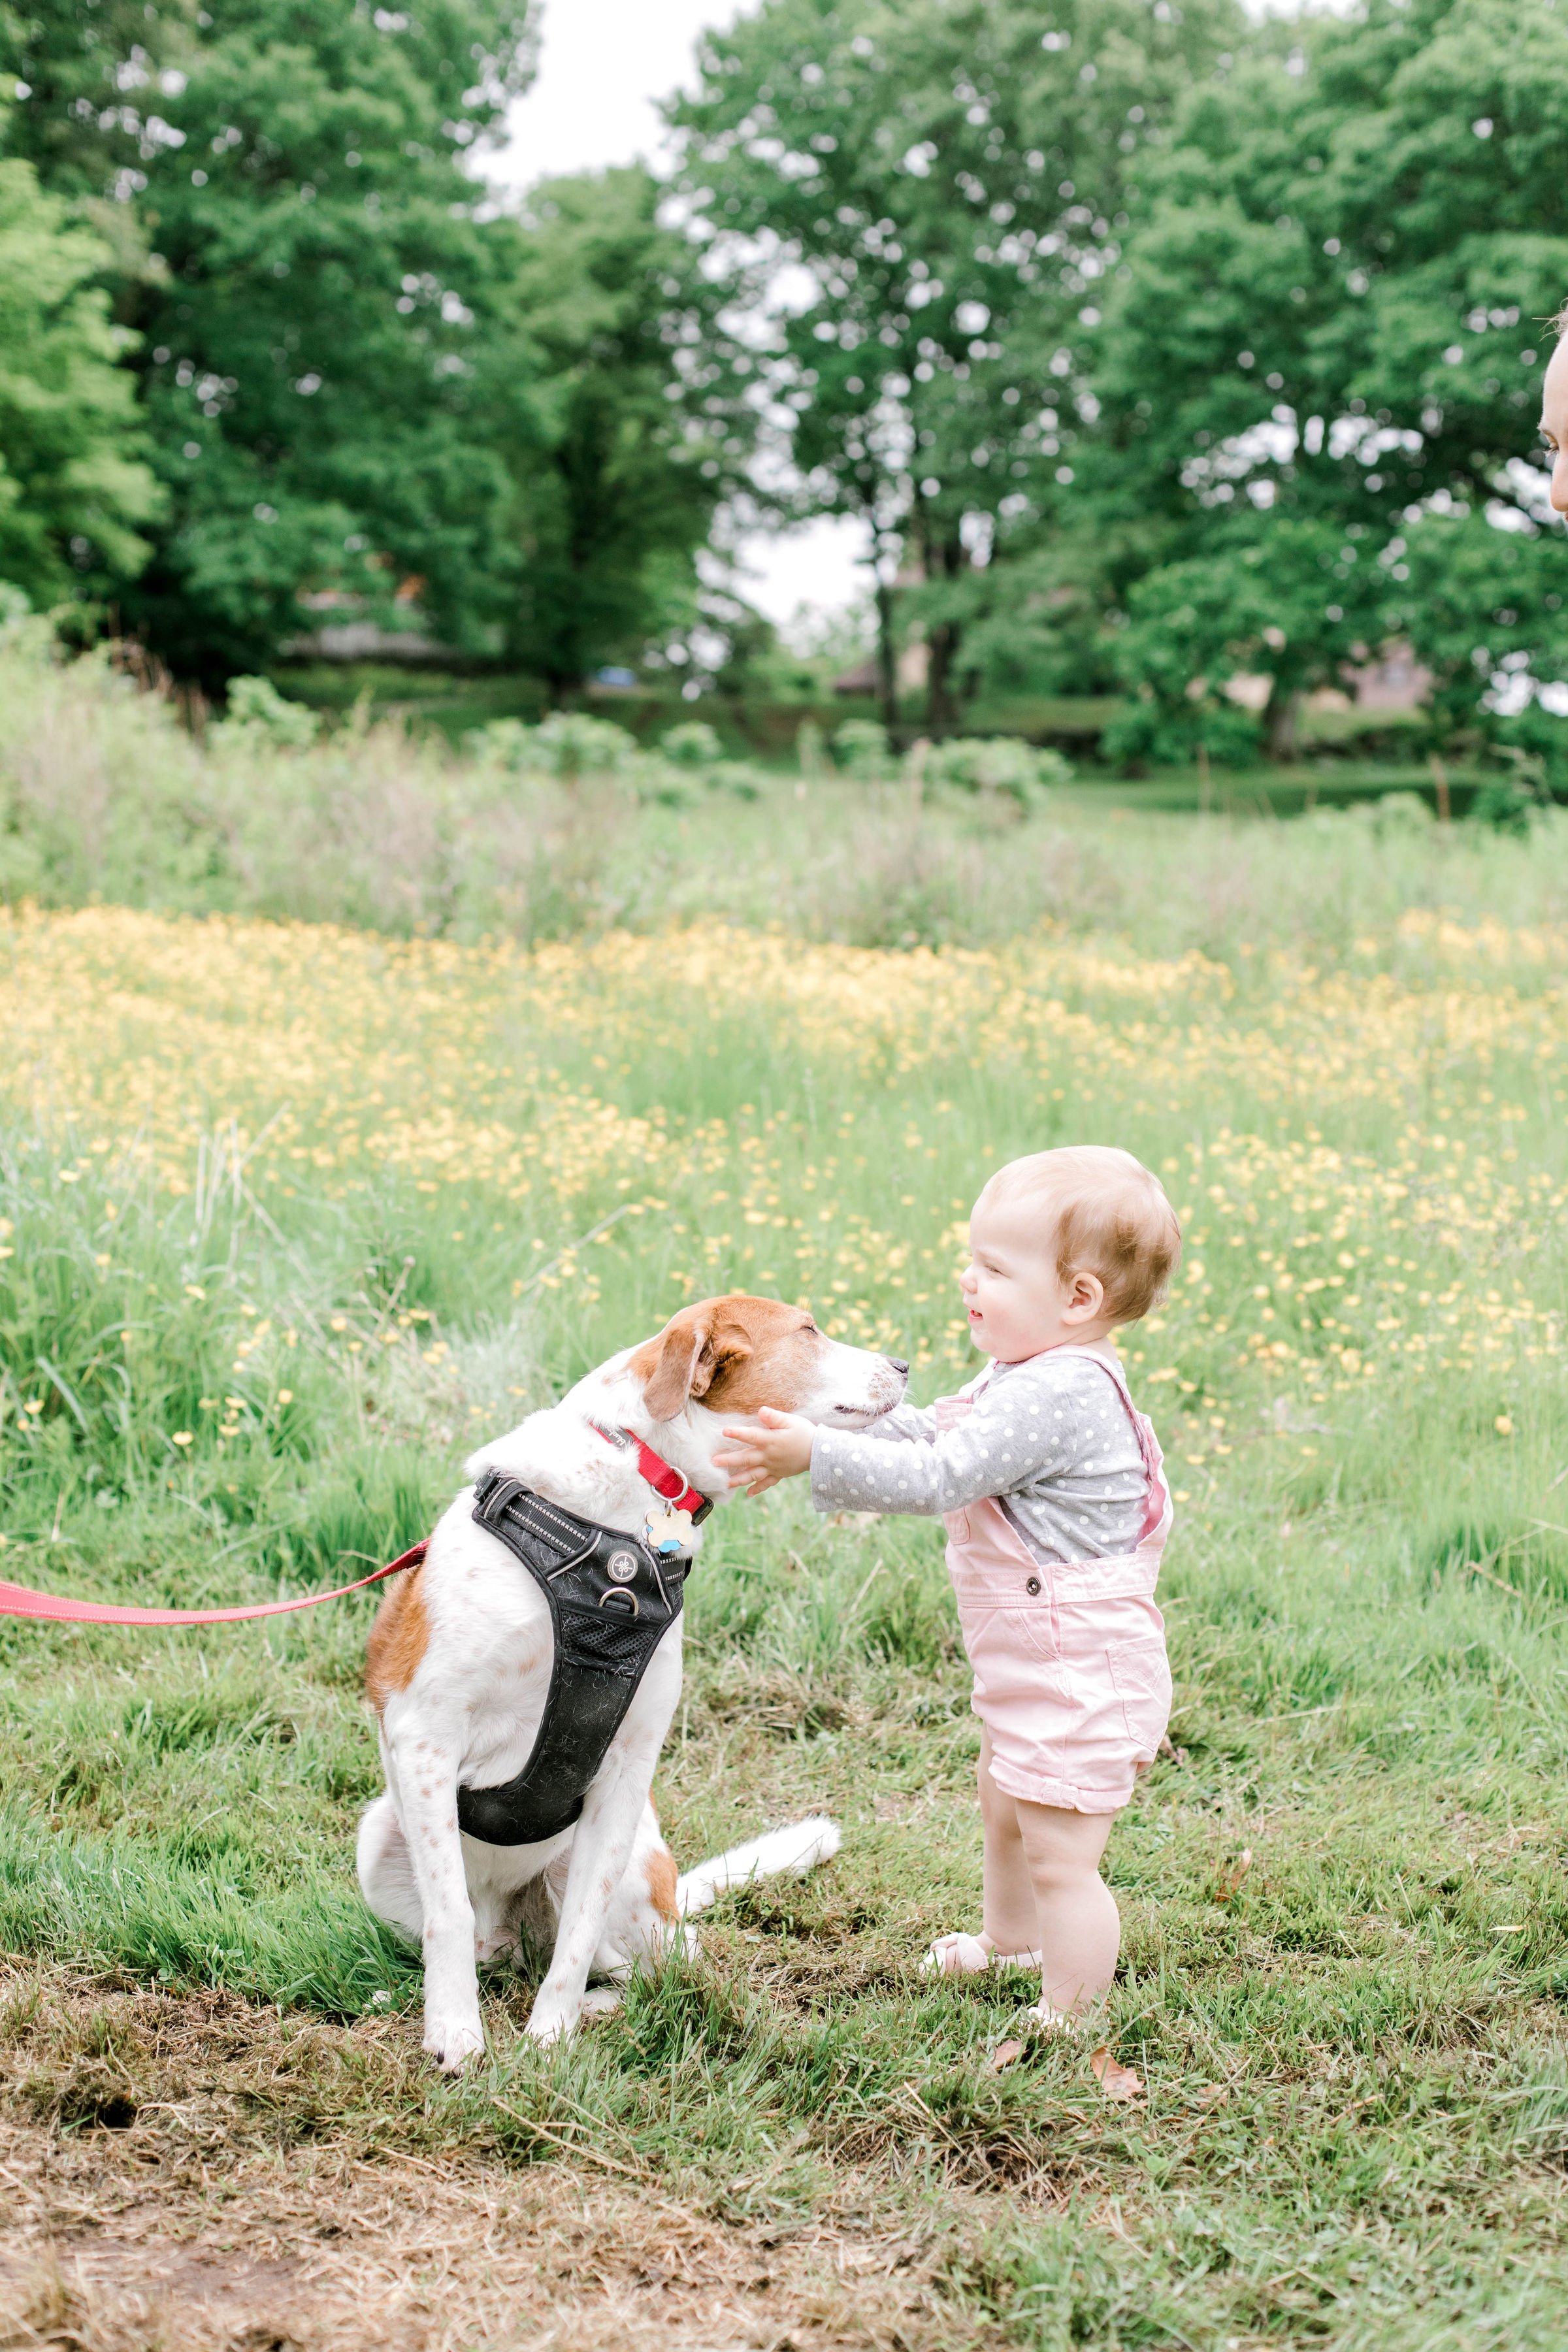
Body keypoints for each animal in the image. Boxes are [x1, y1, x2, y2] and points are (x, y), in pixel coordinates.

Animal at [359, 1298, 907, 2070]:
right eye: (808, 1332)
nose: (905, 1366)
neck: (614, 1533)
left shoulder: (624, 1771)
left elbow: (579, 1932)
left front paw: (549, 2038)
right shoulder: (425, 1736)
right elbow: (447, 1912)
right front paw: (456, 2031)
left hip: (631, 1878)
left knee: (658, 1970)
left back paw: (596, 2009)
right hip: (380, 1837)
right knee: (479, 1938)